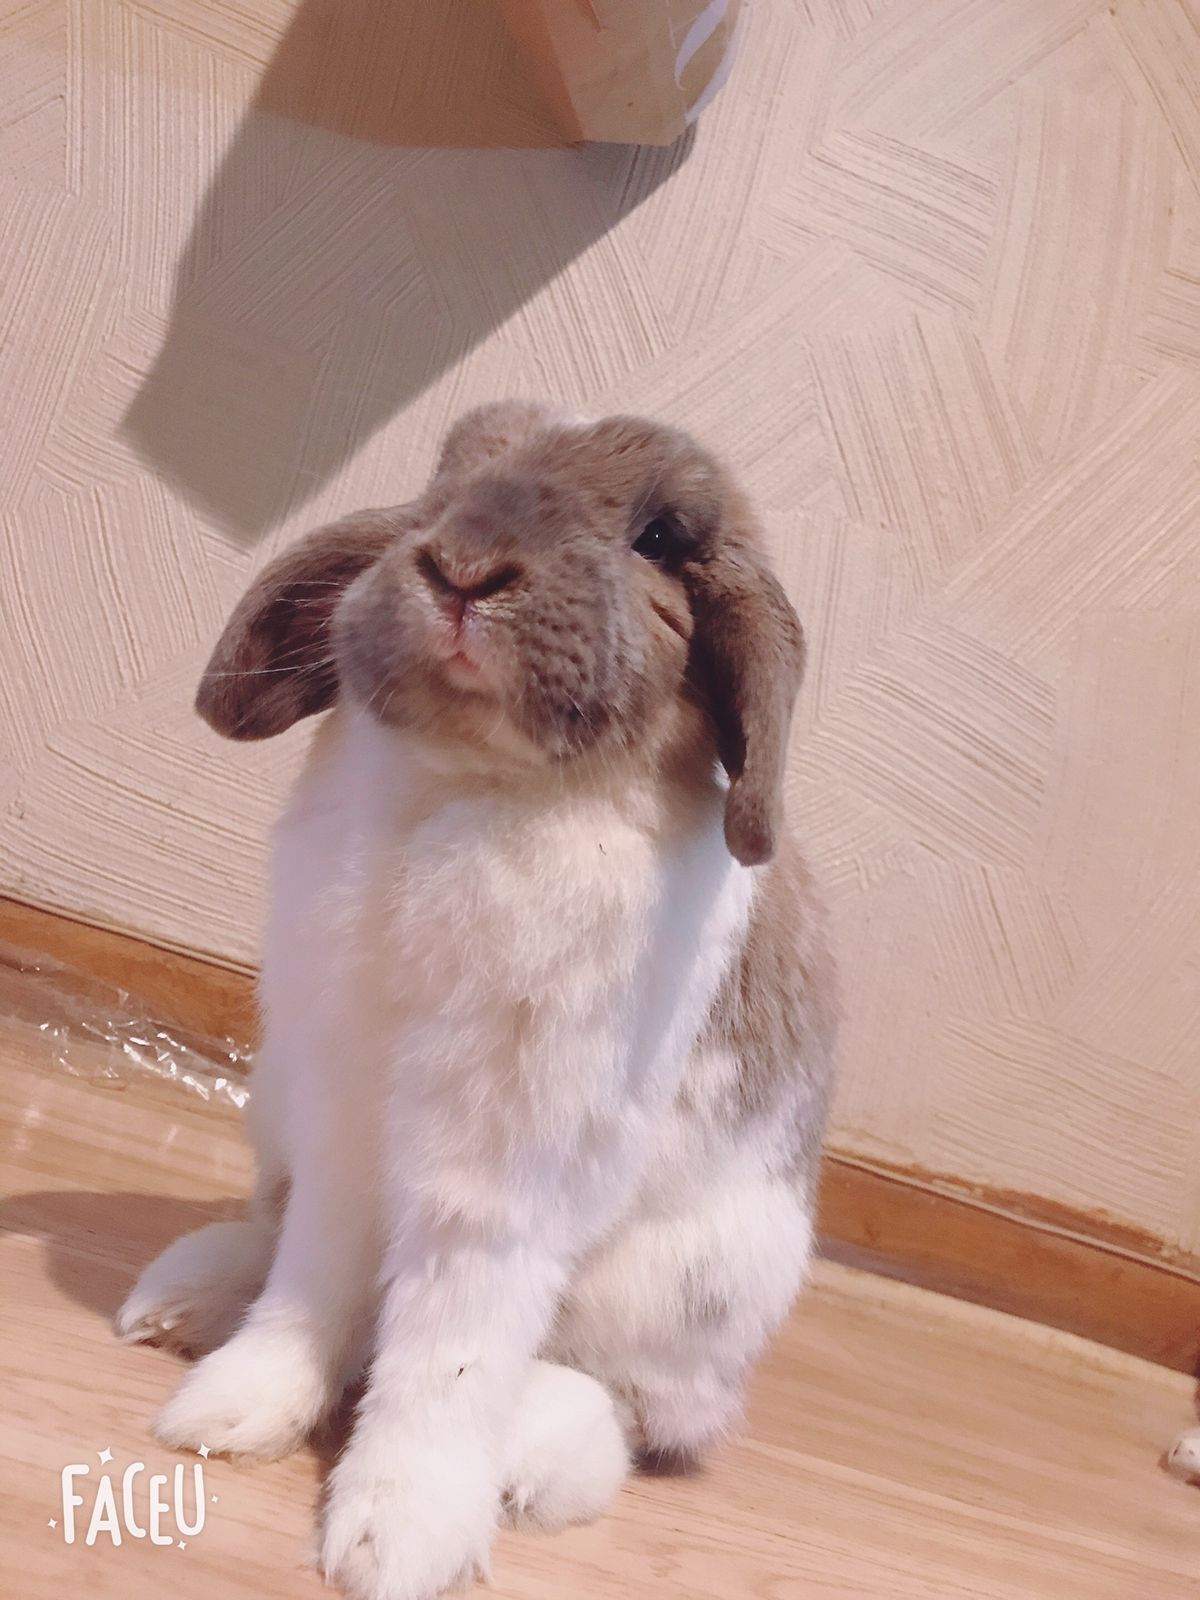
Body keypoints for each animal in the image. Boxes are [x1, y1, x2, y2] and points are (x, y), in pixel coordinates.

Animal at [116, 401, 838, 1600]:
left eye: (660, 538)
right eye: (446, 482)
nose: (461, 568)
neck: (472, 780)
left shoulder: (504, 1174)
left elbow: (450, 1348)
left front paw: (395, 1540)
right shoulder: (347, 1120)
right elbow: (316, 1278)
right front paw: (233, 1409)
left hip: (697, 1286)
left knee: (628, 1407)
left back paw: (532, 1461)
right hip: (278, 1107)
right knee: (280, 1238)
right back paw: (186, 1298)